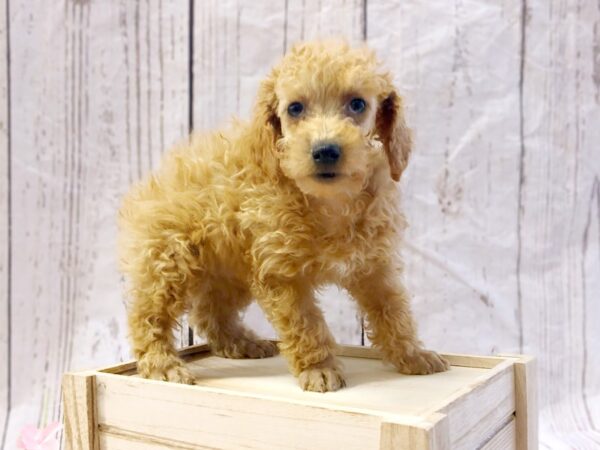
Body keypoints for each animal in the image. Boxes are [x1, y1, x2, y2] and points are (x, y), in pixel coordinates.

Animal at [119, 42, 448, 394]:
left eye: (358, 104)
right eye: (295, 109)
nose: (325, 150)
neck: (329, 201)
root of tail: (158, 175)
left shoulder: (375, 266)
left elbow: (395, 311)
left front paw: (412, 355)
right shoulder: (281, 273)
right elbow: (305, 323)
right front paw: (319, 369)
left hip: (229, 272)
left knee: (210, 312)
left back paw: (241, 344)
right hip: (168, 260)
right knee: (148, 316)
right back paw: (162, 365)